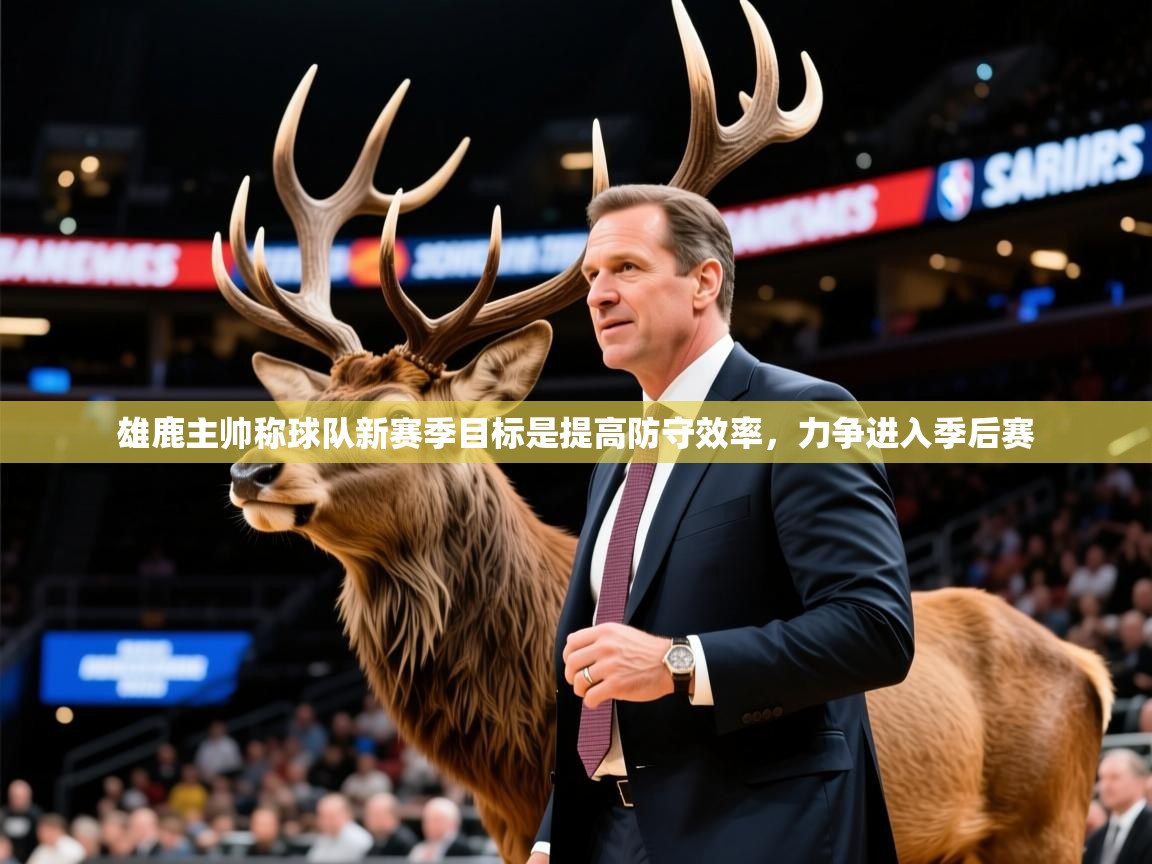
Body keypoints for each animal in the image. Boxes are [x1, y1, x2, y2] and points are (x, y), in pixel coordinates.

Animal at [213, 2, 1114, 862]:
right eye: (310, 400)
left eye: (400, 413)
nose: (252, 471)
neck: (512, 768)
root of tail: (1093, 670)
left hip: (1043, 824)